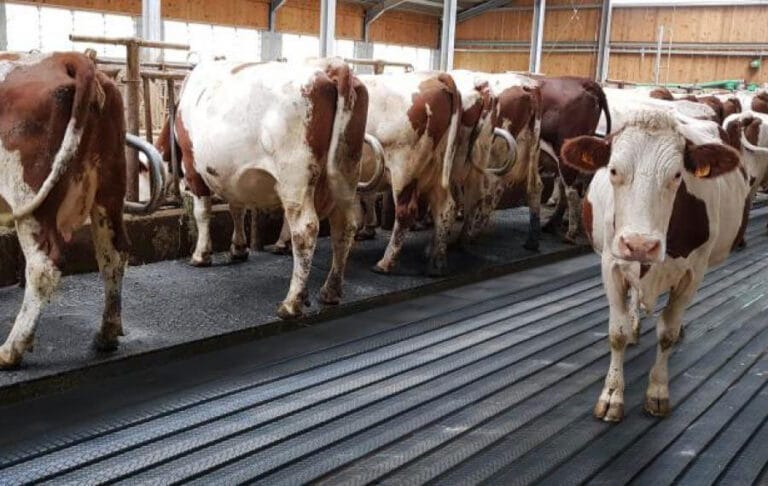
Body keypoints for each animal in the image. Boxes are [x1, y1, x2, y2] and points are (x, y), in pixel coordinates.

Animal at [0, 52, 164, 368]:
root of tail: (69, 58)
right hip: (109, 188)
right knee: (114, 253)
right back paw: (107, 334)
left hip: (29, 195)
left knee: (43, 265)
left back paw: (11, 350)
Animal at [170, 59, 382, 319]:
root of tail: (333, 69)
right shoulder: (232, 175)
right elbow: (236, 208)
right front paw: (238, 249)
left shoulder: (192, 167)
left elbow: (202, 213)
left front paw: (201, 255)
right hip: (346, 174)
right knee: (344, 227)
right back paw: (330, 292)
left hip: (295, 178)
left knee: (306, 229)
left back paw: (291, 303)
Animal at [356, 72, 461, 276]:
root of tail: (435, 78)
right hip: (437, 169)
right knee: (445, 207)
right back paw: (436, 262)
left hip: (403, 168)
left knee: (405, 212)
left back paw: (385, 263)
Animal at [563, 109, 749, 422]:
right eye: (613, 170)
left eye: (677, 175)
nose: (640, 244)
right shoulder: (611, 264)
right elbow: (617, 332)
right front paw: (612, 394)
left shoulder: (693, 273)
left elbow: (667, 333)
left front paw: (658, 392)